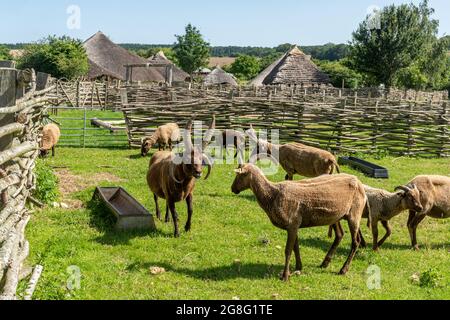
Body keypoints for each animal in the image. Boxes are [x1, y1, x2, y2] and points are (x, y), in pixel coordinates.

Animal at [232, 164, 370, 282]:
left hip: (354, 214)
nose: (232, 189)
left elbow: (288, 250)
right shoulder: (294, 225)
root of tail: (359, 181)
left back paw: (343, 270)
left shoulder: (292, 224)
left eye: (239, 175)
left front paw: (285, 276)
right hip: (336, 215)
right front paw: (298, 267)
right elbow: (296, 248)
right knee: (340, 235)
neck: (272, 195)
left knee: (356, 242)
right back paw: (325, 263)